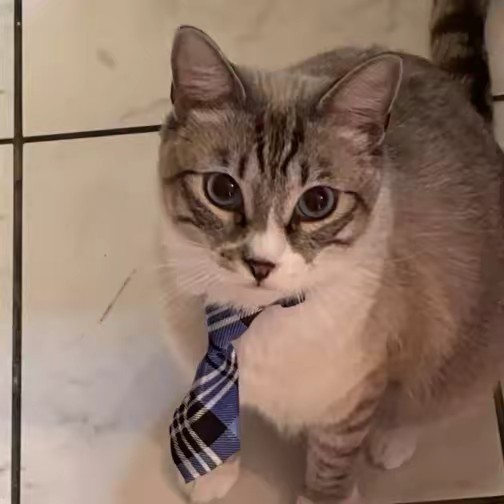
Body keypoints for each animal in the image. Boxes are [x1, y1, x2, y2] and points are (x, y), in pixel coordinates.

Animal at [157, 0, 503, 503]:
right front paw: (213, 477)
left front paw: (322, 494)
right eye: (222, 190)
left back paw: (392, 442)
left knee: (427, 399)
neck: (251, 317)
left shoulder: (353, 396)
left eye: (317, 202)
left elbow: (332, 462)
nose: (260, 263)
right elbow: (213, 408)